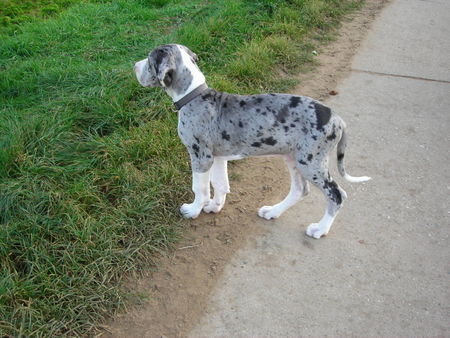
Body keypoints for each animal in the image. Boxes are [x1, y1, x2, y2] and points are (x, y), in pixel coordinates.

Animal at [133, 43, 370, 239]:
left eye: (150, 60)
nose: (134, 66)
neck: (194, 95)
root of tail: (338, 119)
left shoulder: (201, 156)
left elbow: (199, 187)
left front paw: (193, 210)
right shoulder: (218, 157)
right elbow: (220, 184)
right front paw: (215, 207)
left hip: (311, 162)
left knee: (336, 194)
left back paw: (320, 229)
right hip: (293, 157)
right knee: (300, 190)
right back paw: (273, 211)